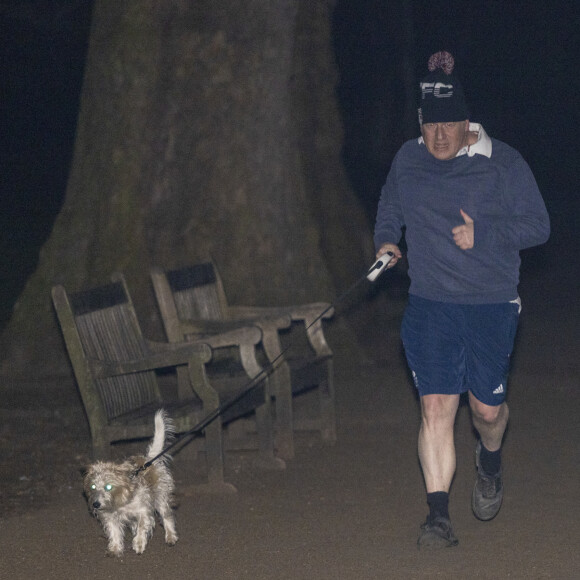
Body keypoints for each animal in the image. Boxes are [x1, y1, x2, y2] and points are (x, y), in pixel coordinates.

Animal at [81, 410, 177, 556]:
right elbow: (114, 532)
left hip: (161, 499)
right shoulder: (110, 517)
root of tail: (149, 459)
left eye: (108, 487)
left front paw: (139, 543)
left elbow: (142, 527)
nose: (95, 504)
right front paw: (115, 548)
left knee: (167, 516)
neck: (119, 501)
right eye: (92, 487)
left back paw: (170, 536)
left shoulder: (143, 511)